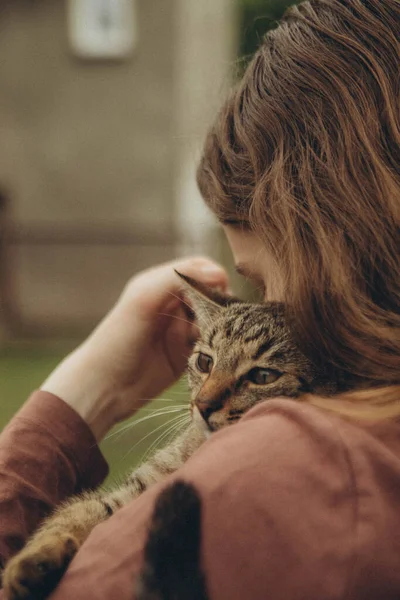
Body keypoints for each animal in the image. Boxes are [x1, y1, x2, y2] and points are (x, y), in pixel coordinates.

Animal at [1, 274, 344, 600]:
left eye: (263, 376)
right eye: (205, 361)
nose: (203, 405)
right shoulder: (130, 491)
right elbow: (75, 512)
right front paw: (33, 560)